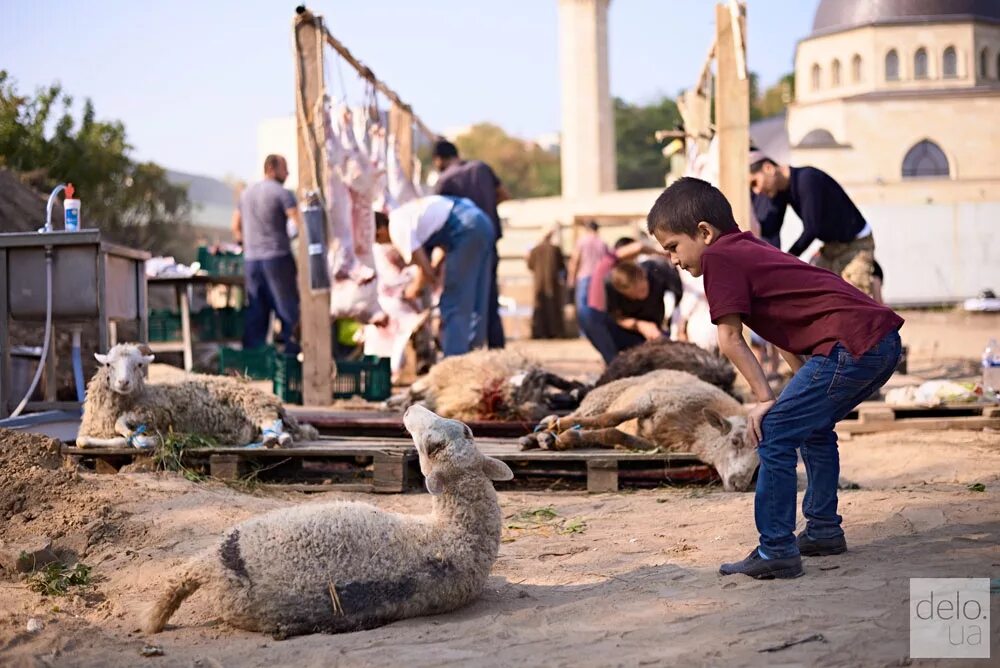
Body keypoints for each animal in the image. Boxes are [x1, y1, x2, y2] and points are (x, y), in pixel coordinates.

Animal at [78, 344, 320, 448]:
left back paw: (277, 439)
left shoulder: (152, 412)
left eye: (138, 365)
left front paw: (144, 439)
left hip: (256, 405)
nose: (123, 383)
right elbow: (82, 442)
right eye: (108, 365)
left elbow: (122, 424)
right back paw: (271, 439)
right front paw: (133, 439)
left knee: (272, 422)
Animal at [516, 370, 756, 490]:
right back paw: (543, 433)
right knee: (583, 416)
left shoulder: (655, 443)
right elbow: (610, 418)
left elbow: (614, 433)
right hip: (603, 397)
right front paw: (565, 435)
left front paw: (570, 438)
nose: (740, 485)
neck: (696, 428)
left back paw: (547, 437)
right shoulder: (649, 400)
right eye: (735, 441)